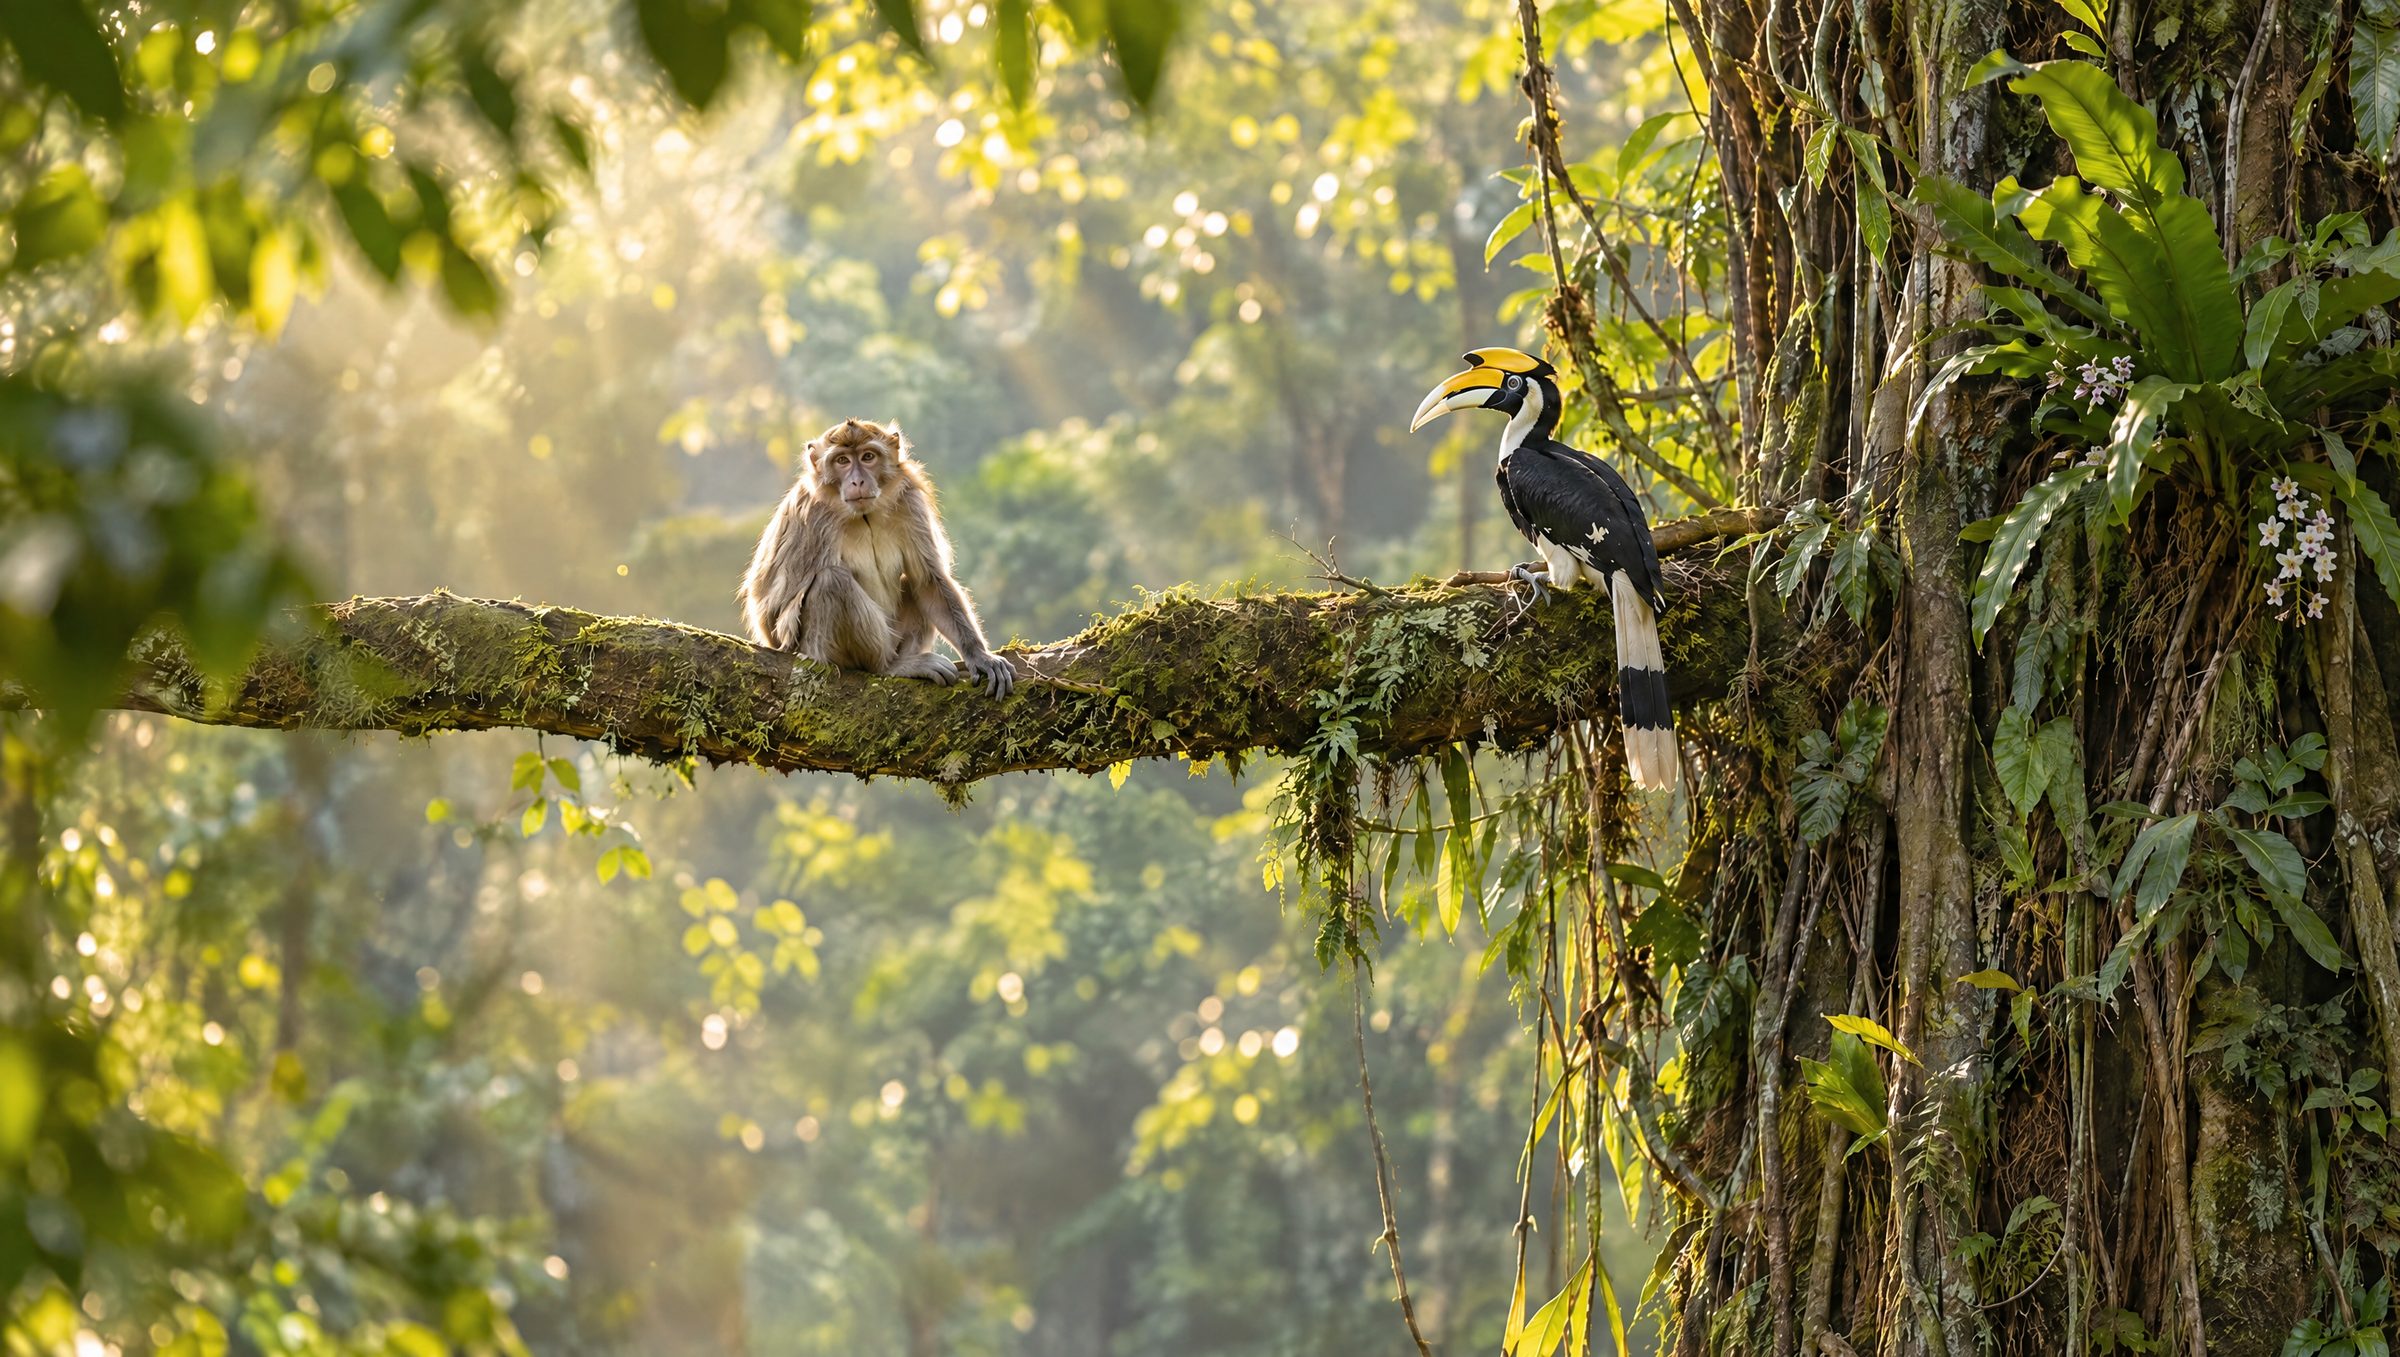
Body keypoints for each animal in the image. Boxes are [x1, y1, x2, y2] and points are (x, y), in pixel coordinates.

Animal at [738, 418, 1015, 698]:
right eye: (842, 461)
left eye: (868, 457)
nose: (857, 481)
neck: (864, 515)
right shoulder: (812, 517)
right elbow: (773, 611)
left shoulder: (910, 503)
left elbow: (928, 580)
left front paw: (980, 656)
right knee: (832, 581)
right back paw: (889, 667)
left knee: (909, 582)